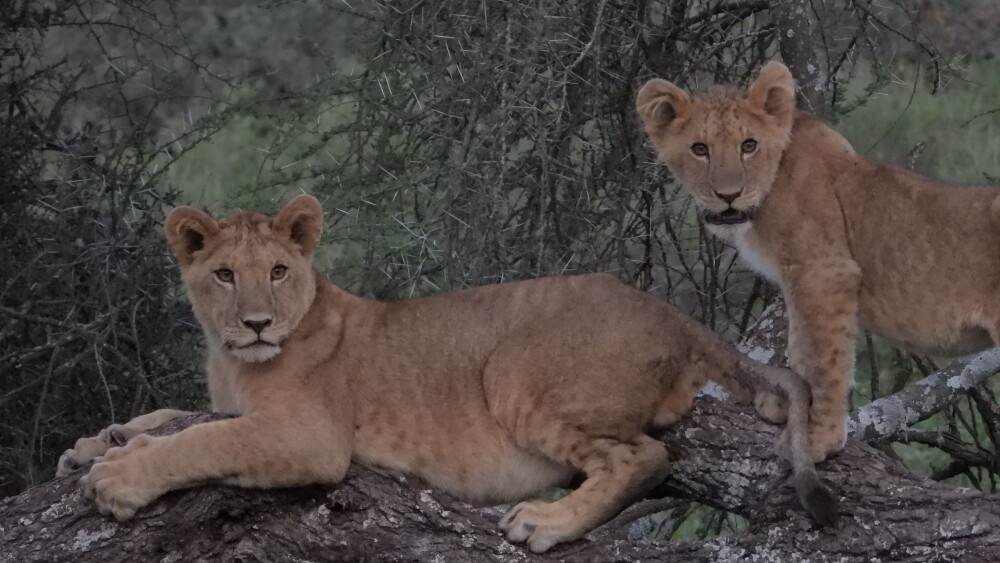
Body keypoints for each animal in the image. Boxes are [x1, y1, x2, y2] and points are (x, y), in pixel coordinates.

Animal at [59, 196, 835, 552]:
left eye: (278, 271)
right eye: (224, 274)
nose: (256, 323)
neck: (232, 360)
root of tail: (670, 313)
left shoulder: (310, 436)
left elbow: (203, 440)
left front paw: (119, 475)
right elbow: (170, 416)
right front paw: (96, 443)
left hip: (516, 371)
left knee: (642, 456)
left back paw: (546, 521)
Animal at [637, 61, 1000, 462]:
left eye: (749, 145)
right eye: (699, 149)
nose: (728, 196)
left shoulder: (825, 271)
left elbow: (825, 358)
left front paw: (818, 437)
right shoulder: (796, 278)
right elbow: (800, 346)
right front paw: (787, 405)